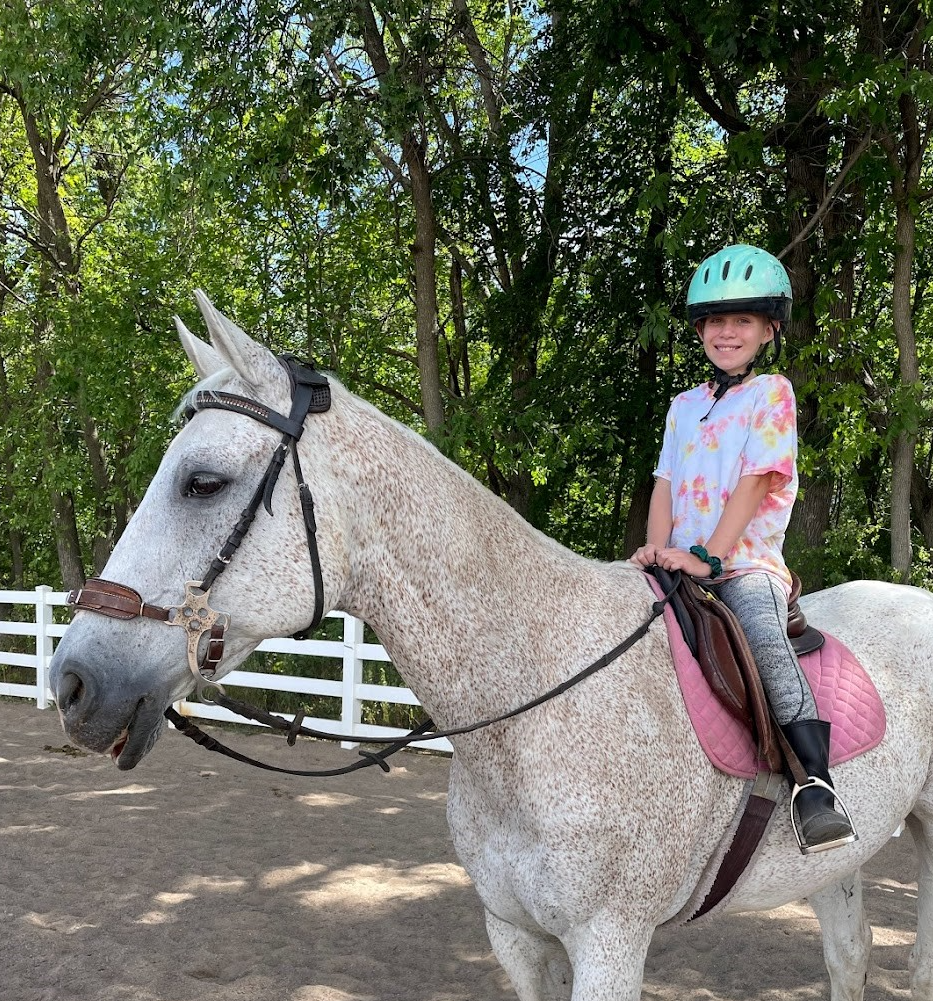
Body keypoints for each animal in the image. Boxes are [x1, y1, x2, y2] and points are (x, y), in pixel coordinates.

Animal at [49, 292, 933, 1001]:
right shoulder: (514, 935)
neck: (538, 702)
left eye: (203, 482)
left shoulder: (610, 944)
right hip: (838, 864)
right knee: (849, 956)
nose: (72, 682)